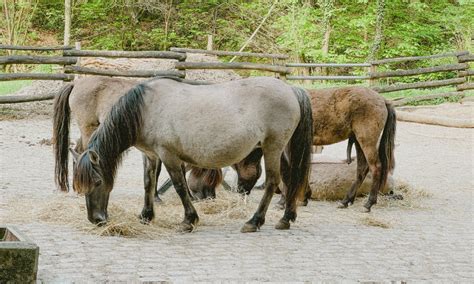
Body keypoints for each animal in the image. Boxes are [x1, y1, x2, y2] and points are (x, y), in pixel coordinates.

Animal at [187, 86, 394, 213]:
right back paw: (346, 201)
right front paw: (303, 197)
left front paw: (284, 201)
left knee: (376, 168)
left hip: (366, 140)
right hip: (358, 141)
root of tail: (383, 99)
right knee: (362, 169)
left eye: (204, 176)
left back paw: (368, 203)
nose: (202, 197)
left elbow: (287, 172)